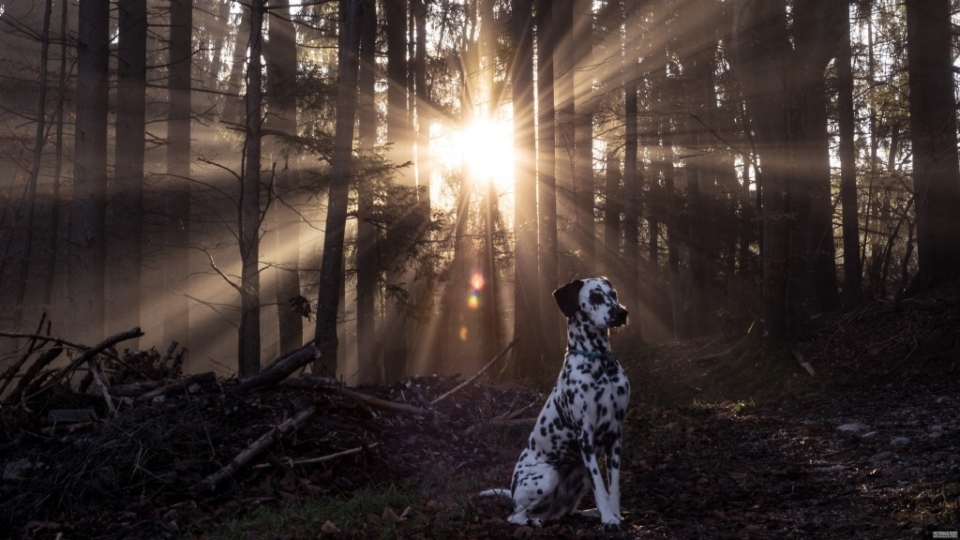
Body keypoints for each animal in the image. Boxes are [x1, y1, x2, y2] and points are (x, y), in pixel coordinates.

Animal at [480, 278, 632, 532]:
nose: (622, 312)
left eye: (614, 294)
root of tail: (512, 492)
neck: (600, 363)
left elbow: (614, 486)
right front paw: (609, 519)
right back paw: (533, 520)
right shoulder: (586, 436)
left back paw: (589, 512)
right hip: (548, 475)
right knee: (516, 515)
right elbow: (600, 486)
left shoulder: (616, 435)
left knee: (566, 511)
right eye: (595, 297)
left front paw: (615, 514)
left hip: (579, 473)